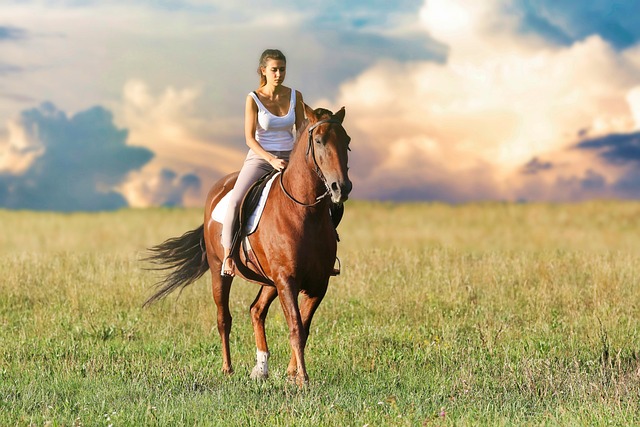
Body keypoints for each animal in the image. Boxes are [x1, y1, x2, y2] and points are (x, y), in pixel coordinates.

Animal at [144, 104, 352, 388]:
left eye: (347, 141)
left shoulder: (318, 284)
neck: (304, 212)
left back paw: (261, 369)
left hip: (269, 281)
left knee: (256, 310)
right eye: (319, 141)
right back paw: (227, 368)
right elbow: (296, 327)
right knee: (224, 318)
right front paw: (302, 378)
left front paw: (292, 373)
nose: (341, 187)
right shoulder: (287, 280)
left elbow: (304, 327)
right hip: (220, 271)